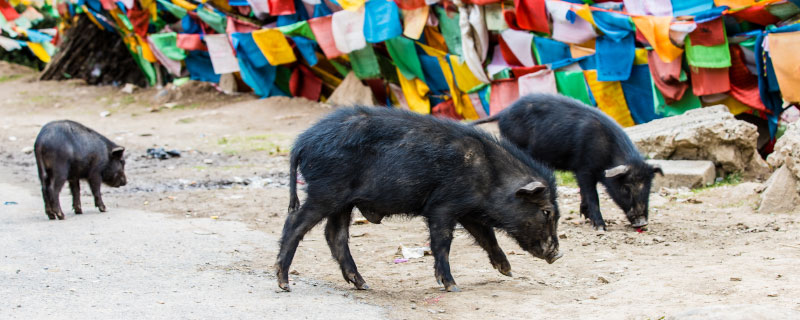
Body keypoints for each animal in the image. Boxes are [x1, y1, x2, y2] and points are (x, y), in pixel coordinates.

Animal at [276, 107, 564, 292]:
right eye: (546, 211)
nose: (558, 254)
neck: (491, 176)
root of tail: (302, 143)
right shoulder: (442, 206)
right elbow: (442, 242)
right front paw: (452, 286)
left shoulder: (468, 211)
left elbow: (487, 236)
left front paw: (507, 270)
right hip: (326, 191)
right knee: (295, 224)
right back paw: (283, 282)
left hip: (342, 202)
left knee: (335, 235)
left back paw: (363, 284)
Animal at [476, 94, 664, 231]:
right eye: (626, 188)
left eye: (648, 188)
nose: (642, 223)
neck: (608, 153)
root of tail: (504, 112)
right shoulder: (584, 168)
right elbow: (592, 195)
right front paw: (600, 227)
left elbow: (584, 193)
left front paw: (585, 216)